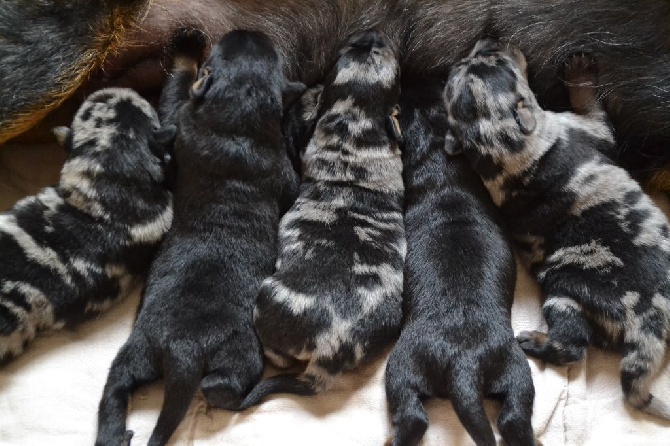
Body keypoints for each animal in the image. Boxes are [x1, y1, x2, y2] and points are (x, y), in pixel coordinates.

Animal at [95, 28, 304, 446]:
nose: (248, 31)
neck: (236, 121)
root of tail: (183, 352)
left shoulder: (179, 128)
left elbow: (173, 97)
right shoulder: (283, 174)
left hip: (136, 354)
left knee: (116, 390)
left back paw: (115, 434)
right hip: (238, 354)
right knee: (223, 391)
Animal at [242, 30, 410, 408]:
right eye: (351, 49)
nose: (372, 32)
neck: (353, 128)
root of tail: (328, 355)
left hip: (266, 297)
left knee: (277, 357)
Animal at [386, 81, 540, 446]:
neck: (443, 169)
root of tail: (463, 362)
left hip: (401, 365)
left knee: (410, 415)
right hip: (515, 369)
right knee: (514, 416)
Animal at [446, 39, 670, 422]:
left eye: (477, 61)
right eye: (497, 60)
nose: (489, 40)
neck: (502, 147)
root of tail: (645, 320)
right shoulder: (589, 127)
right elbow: (589, 101)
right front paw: (579, 69)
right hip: (563, 295)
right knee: (571, 347)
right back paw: (535, 341)